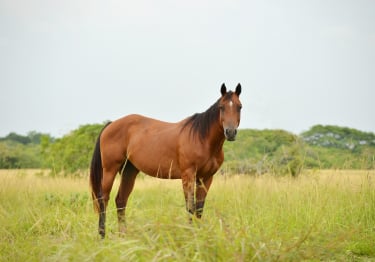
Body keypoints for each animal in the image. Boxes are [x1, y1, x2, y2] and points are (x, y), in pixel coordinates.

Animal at [91, 83, 244, 237]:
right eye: (221, 107)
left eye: (239, 107)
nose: (230, 132)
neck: (202, 139)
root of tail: (111, 124)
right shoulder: (188, 175)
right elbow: (190, 207)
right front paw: (191, 235)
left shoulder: (205, 178)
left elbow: (199, 209)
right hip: (110, 169)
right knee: (103, 199)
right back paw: (102, 235)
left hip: (130, 171)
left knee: (121, 200)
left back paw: (123, 236)